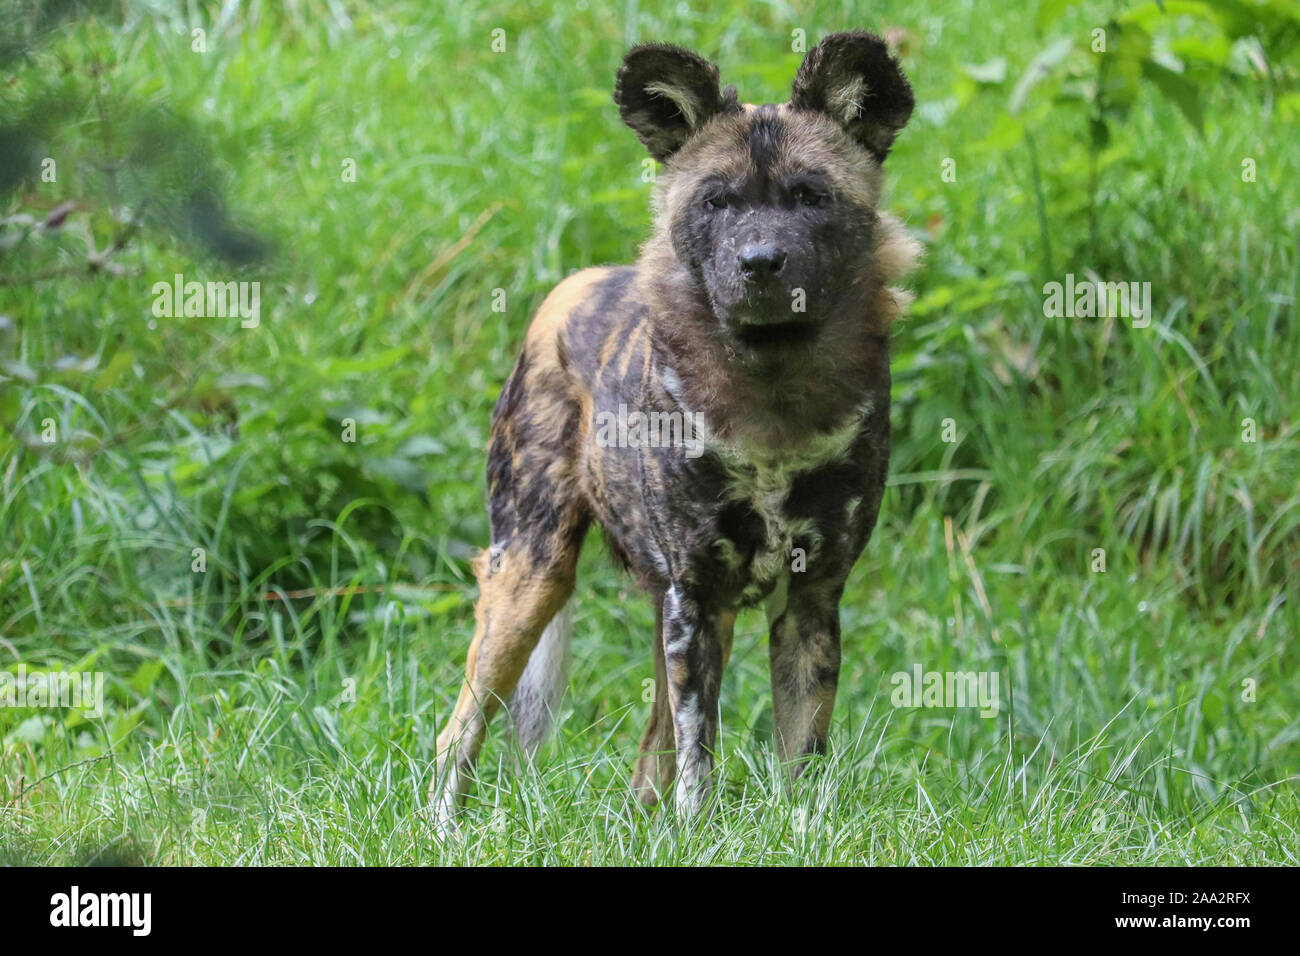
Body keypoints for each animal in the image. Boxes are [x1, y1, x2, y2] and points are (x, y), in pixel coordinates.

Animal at [431, 26, 920, 827]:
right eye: (717, 201)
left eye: (810, 196)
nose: (760, 263)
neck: (769, 399)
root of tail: (572, 285)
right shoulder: (695, 590)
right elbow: (700, 756)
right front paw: (702, 832)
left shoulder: (809, 598)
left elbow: (800, 758)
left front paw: (799, 834)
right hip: (533, 578)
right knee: (460, 730)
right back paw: (443, 832)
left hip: (673, 612)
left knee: (648, 756)